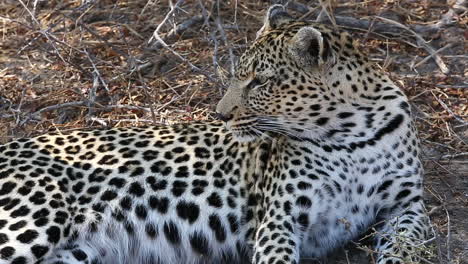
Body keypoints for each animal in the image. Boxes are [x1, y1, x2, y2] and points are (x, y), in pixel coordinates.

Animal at [0, 4, 432, 264]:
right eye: (239, 75)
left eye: (259, 81)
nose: (220, 115)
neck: (351, 132)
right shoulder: (280, 218)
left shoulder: (408, 207)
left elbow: (407, 247)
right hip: (35, 217)